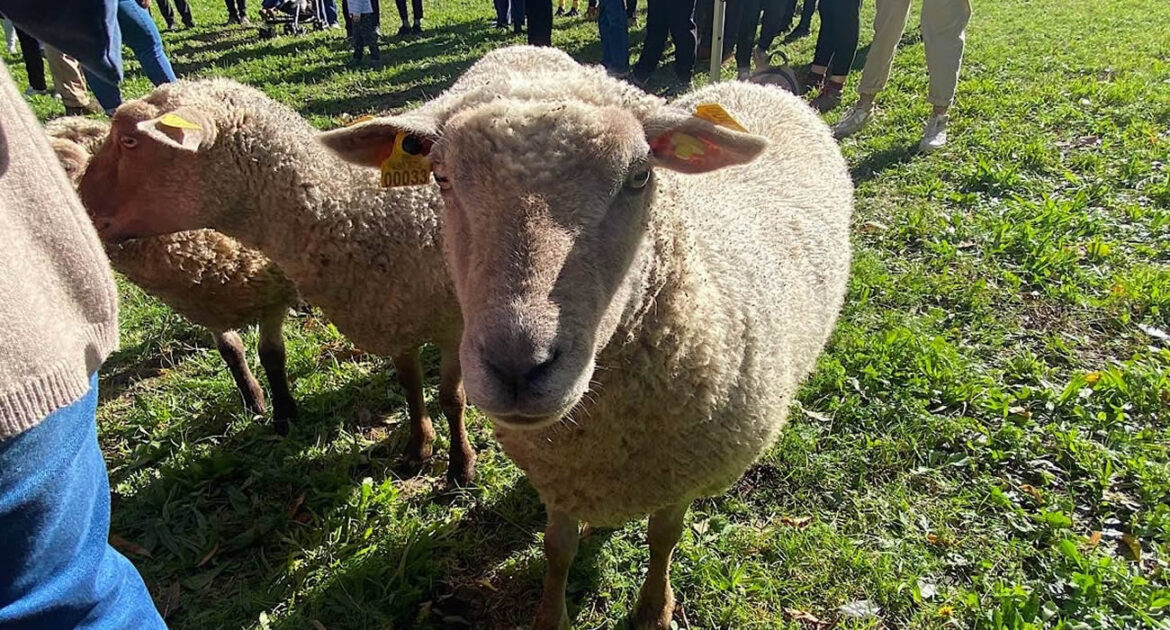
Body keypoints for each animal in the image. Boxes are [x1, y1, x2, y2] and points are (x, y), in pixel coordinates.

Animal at [44, 118, 301, 426]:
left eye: (65, 167)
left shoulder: (271, 297)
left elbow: (271, 354)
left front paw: (284, 414)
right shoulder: (205, 304)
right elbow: (231, 350)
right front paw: (252, 399)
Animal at [75, 81, 477, 480]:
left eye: (129, 140)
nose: (82, 207)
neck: (365, 210)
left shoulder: (451, 325)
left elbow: (450, 398)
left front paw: (460, 465)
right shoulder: (395, 318)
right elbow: (410, 387)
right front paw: (418, 447)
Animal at [325, 46, 856, 622]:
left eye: (641, 175)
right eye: (440, 178)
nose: (518, 367)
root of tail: (763, 85)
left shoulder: (681, 474)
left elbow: (664, 537)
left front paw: (654, 609)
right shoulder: (559, 474)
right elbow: (558, 548)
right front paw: (550, 614)